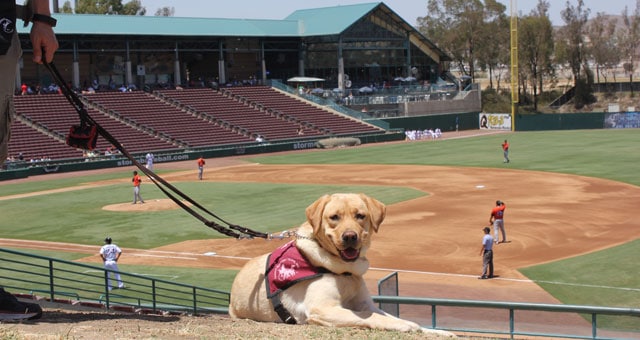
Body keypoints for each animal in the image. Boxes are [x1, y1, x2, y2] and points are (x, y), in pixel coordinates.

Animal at [230, 194, 456, 334]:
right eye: (334, 217)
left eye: (360, 216)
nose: (350, 236)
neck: (346, 273)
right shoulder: (322, 308)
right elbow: (368, 316)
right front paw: (403, 326)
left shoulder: (365, 302)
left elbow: (385, 314)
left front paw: (437, 332)